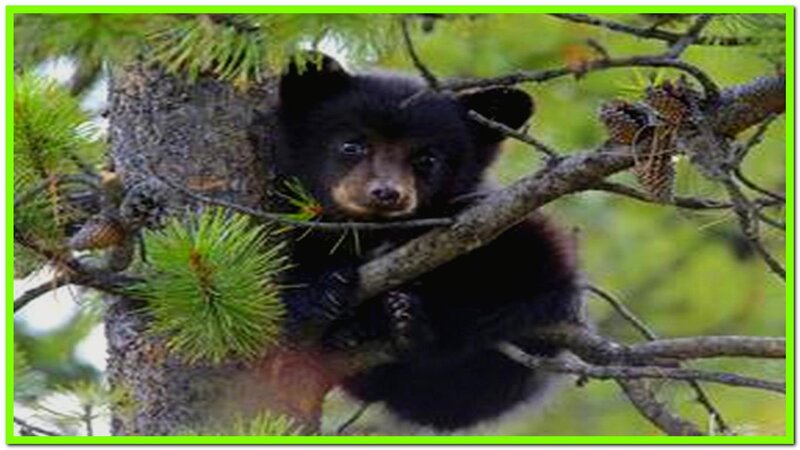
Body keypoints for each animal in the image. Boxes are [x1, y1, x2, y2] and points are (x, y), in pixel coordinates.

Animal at [270, 53, 583, 431]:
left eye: (426, 158)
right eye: (351, 145)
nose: (386, 193)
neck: (375, 231)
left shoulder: (482, 213)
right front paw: (320, 287)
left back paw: (409, 319)